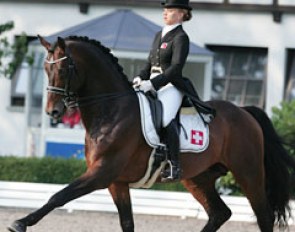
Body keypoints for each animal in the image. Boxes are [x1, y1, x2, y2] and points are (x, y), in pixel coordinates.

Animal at [8, 35, 295, 232]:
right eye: (46, 69)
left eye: (64, 69)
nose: (53, 112)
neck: (111, 110)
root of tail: (244, 112)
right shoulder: (116, 182)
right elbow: (127, 223)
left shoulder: (102, 174)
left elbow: (59, 195)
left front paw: (20, 223)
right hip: (198, 178)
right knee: (219, 213)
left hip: (248, 172)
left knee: (264, 215)